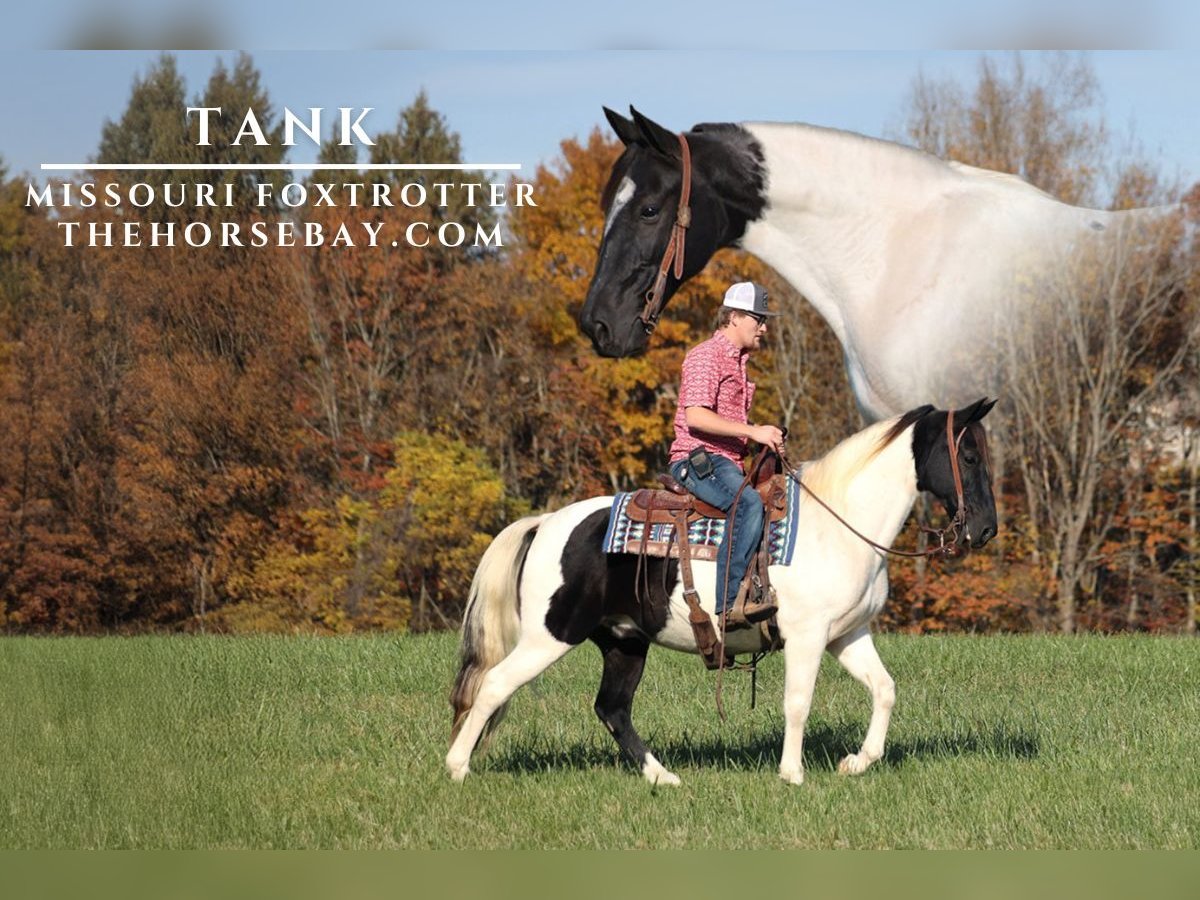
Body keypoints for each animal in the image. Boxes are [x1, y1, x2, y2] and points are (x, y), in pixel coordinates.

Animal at [446, 400, 998, 787]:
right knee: (494, 685)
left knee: (612, 709)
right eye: (969, 455)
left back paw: (662, 776)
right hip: (551, 636)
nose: (987, 530)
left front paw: (856, 762)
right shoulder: (807, 636)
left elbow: (884, 689)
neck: (839, 523)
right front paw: (792, 774)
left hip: (624, 642)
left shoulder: (847, 634)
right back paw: (456, 766)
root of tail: (544, 523)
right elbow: (798, 701)